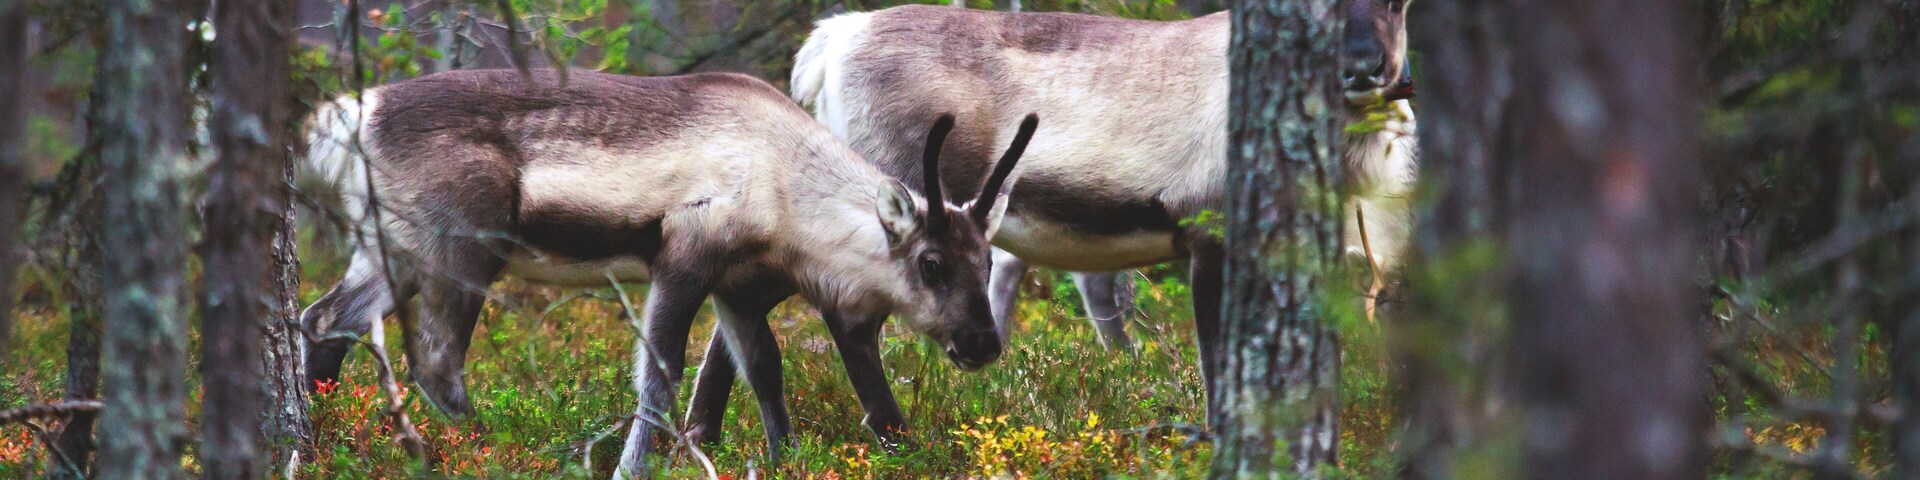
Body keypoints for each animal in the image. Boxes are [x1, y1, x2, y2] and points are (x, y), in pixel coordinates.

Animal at [295, 69, 1038, 474]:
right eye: (931, 263)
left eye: (986, 258)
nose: (982, 343)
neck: (786, 192)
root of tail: (344, 119)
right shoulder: (684, 256)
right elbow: (660, 372)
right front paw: (632, 467)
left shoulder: (739, 290)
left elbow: (764, 372)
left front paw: (787, 459)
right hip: (461, 246)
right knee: (437, 356)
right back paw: (497, 452)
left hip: (392, 248)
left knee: (324, 318)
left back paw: (320, 439)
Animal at [681, 0, 1418, 446]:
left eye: (1396, 1)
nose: (1364, 68)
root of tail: (833, 42)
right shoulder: (1210, 231)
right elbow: (1216, 362)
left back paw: (699, 441)